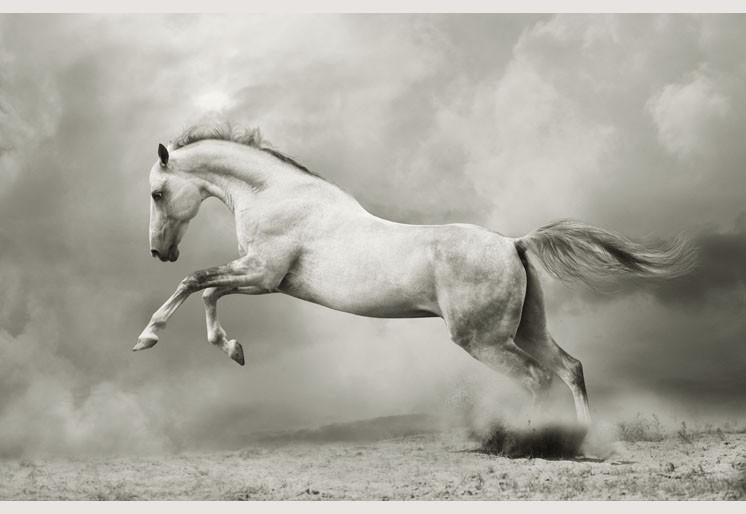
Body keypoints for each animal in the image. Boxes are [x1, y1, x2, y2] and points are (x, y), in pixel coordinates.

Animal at [135, 120, 695, 427]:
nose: (159, 252)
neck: (276, 195)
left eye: (157, 194)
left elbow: (196, 284)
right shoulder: (257, 277)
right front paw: (234, 350)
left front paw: (148, 338)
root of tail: (513, 244)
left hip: (484, 340)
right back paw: (582, 439)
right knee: (570, 368)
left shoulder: (263, 275)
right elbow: (207, 293)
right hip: (526, 329)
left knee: (537, 379)